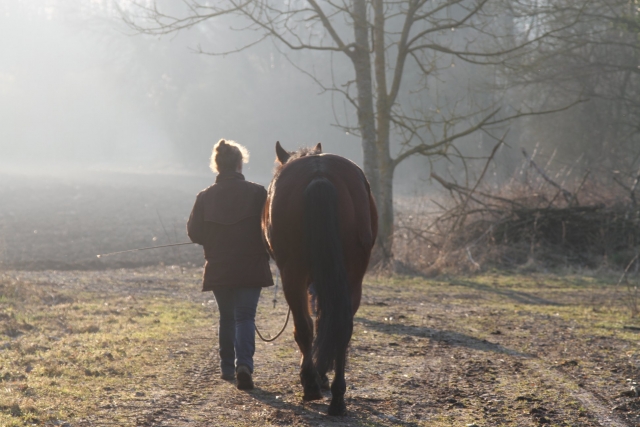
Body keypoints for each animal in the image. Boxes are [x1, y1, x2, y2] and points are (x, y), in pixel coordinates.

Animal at [262, 141, 378, 415]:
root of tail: (319, 174)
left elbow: (311, 323)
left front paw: (315, 377)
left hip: (293, 273)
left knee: (304, 327)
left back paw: (311, 385)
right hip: (352, 276)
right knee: (342, 327)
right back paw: (337, 398)